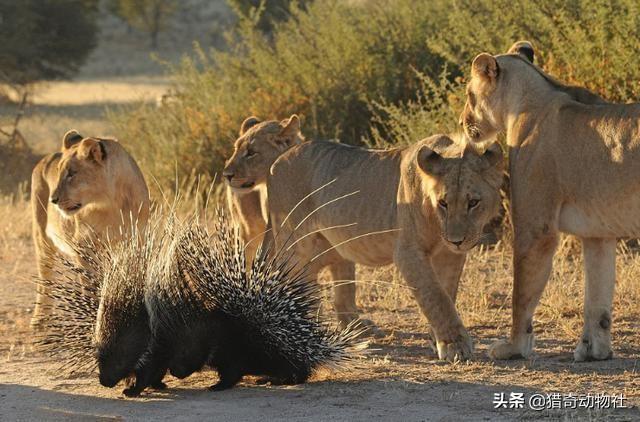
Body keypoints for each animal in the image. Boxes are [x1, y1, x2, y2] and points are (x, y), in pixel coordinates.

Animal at [31, 130, 150, 328]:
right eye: (59, 173)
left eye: (72, 173)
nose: (53, 200)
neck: (111, 204)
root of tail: (45, 158)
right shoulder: (84, 246)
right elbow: (89, 288)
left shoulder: (136, 242)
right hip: (42, 238)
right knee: (44, 281)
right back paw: (40, 321)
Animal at [266, 134, 504, 360]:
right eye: (443, 203)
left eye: (473, 202)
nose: (457, 240)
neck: (437, 224)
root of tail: (277, 160)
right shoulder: (408, 253)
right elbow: (434, 296)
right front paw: (454, 344)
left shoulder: (449, 255)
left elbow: (447, 293)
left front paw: (435, 337)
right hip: (295, 244)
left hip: (333, 246)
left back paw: (356, 328)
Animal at [462, 41, 636, 362]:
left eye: (469, 94)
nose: (462, 122)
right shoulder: (597, 233)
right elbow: (597, 297)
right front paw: (593, 350)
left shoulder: (535, 228)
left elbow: (521, 294)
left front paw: (514, 347)